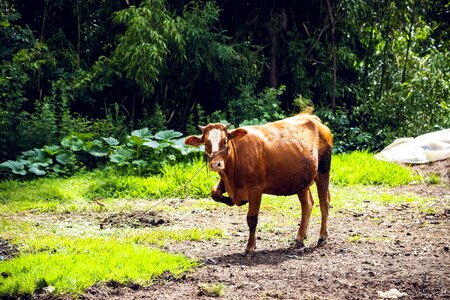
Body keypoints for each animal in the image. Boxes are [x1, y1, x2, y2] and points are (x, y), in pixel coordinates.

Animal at [185, 112, 332, 255]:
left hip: (323, 170)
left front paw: (250, 247)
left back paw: (322, 237)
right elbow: (214, 193)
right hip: (301, 180)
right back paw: (300, 238)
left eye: (225, 141)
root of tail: (313, 118)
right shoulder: (226, 180)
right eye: (206, 143)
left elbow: (252, 219)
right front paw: (232, 201)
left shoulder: (255, 189)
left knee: (324, 203)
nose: (216, 164)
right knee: (307, 204)